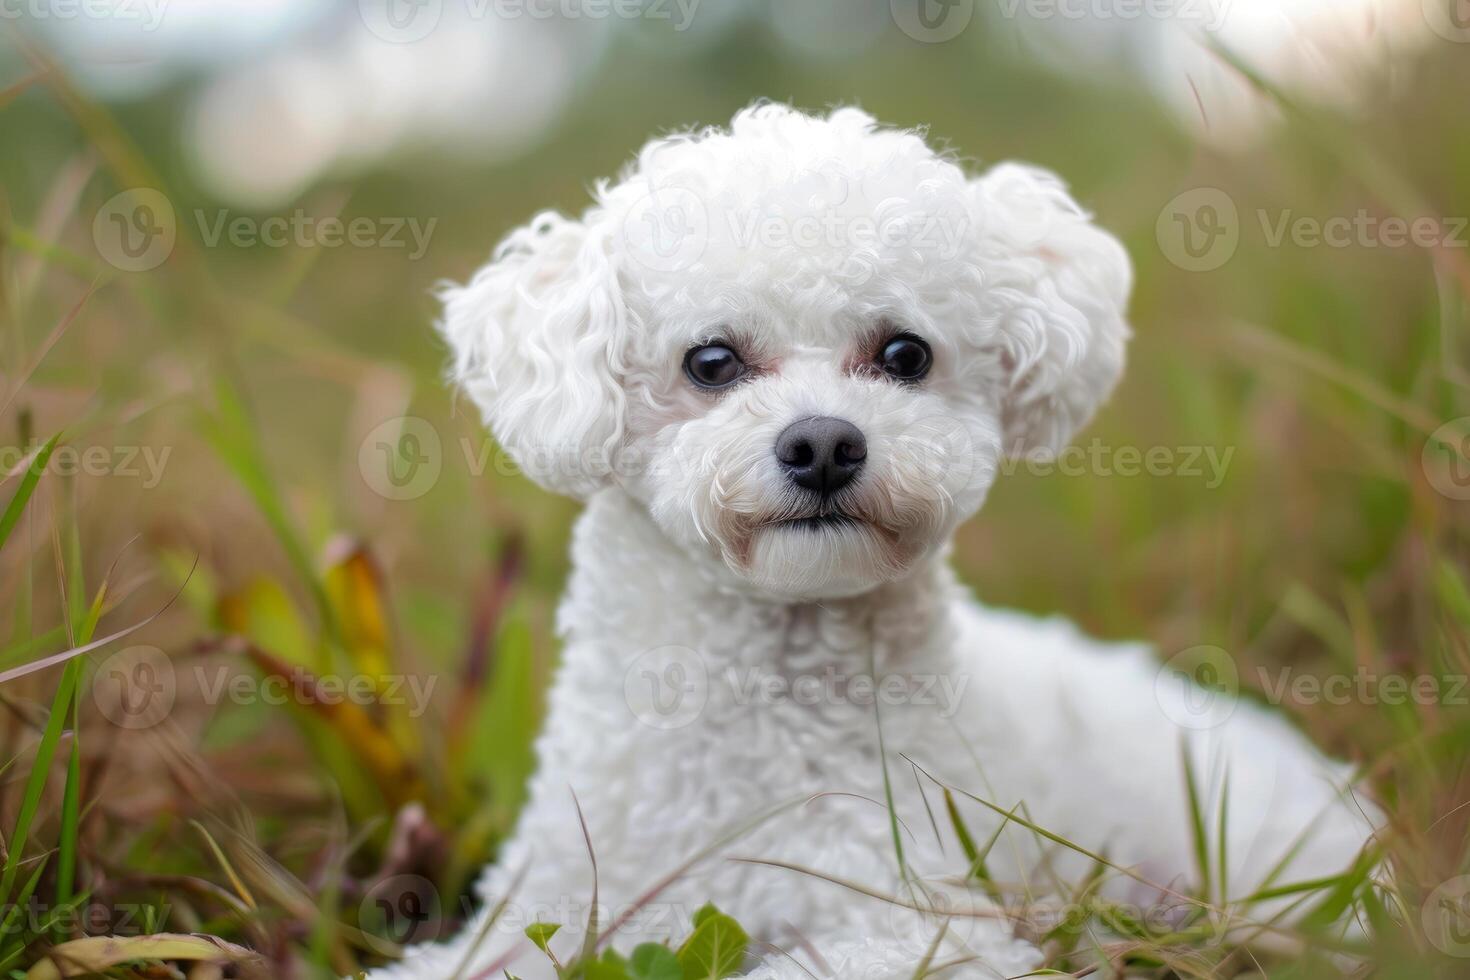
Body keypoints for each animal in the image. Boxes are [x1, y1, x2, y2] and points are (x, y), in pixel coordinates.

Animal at [364, 103, 1375, 975]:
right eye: (711, 361)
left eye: (904, 354)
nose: (822, 444)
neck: (761, 710)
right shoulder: (550, 896)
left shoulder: (920, 922)